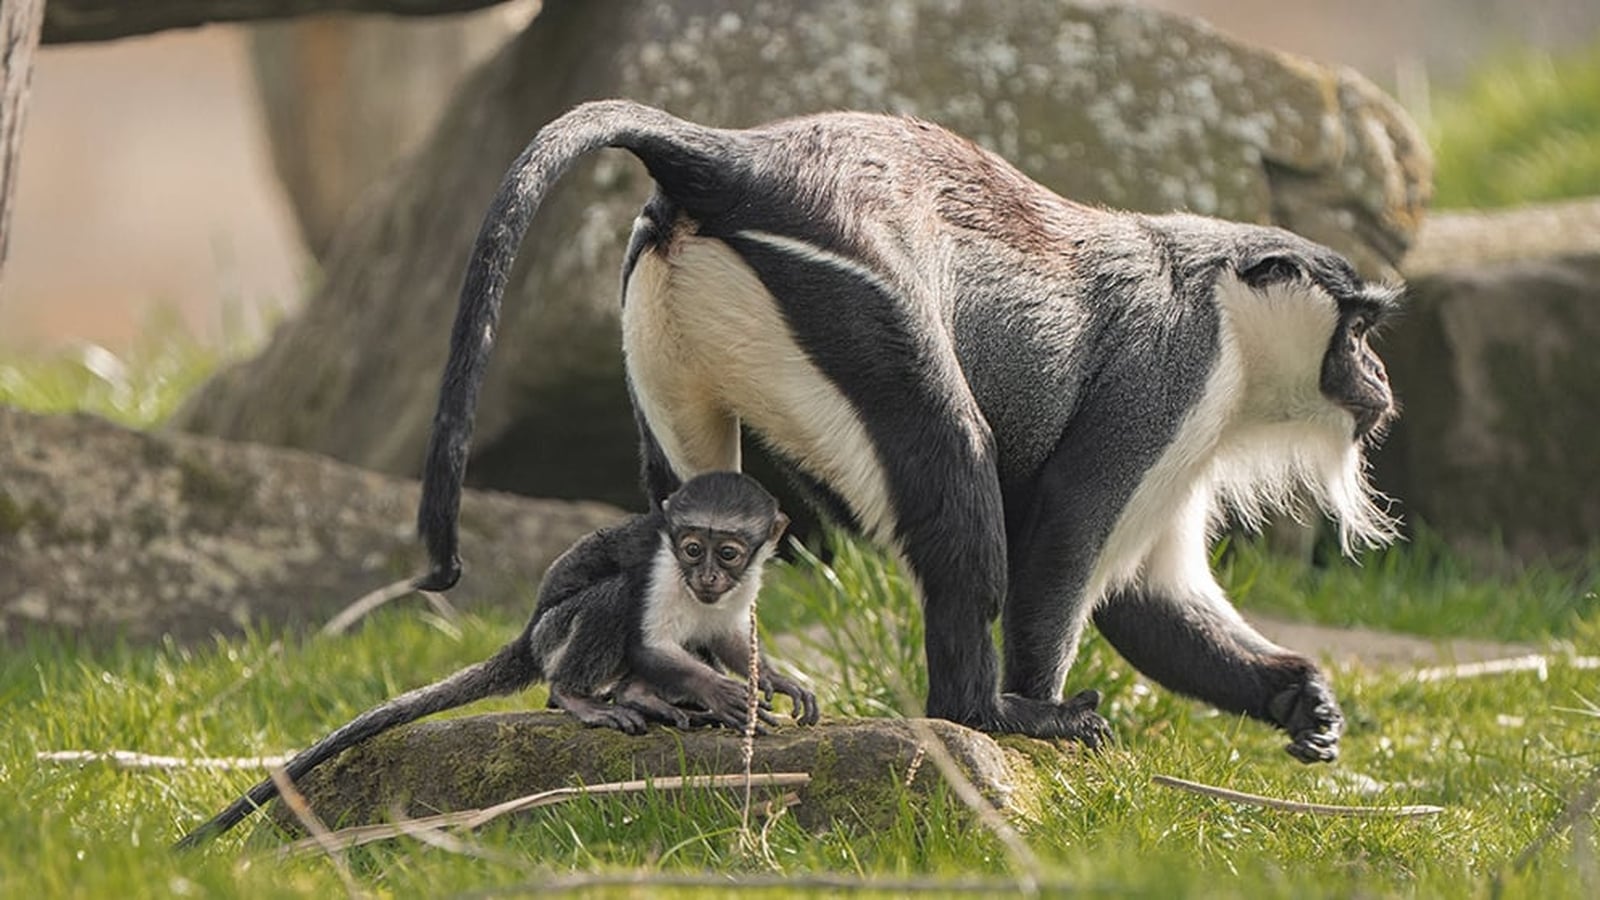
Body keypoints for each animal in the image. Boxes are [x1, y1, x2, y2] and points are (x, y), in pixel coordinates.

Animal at [175, 471, 819, 849]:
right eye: (690, 547)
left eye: (727, 553)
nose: (705, 575)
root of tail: (529, 632)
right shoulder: (660, 570)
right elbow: (647, 641)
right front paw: (722, 695)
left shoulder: (736, 591)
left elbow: (730, 638)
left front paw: (777, 681)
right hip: (557, 633)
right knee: (609, 603)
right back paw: (586, 697)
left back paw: (648, 699)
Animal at [414, 99, 1400, 764]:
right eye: (1357, 329)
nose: (1381, 381)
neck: (1225, 301)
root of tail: (735, 160)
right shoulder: (1171, 377)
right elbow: (1065, 542)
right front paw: (1041, 709)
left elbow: (1147, 596)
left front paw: (1300, 698)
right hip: (859, 309)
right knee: (958, 476)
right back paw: (986, 714)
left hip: (667, 329)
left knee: (685, 503)